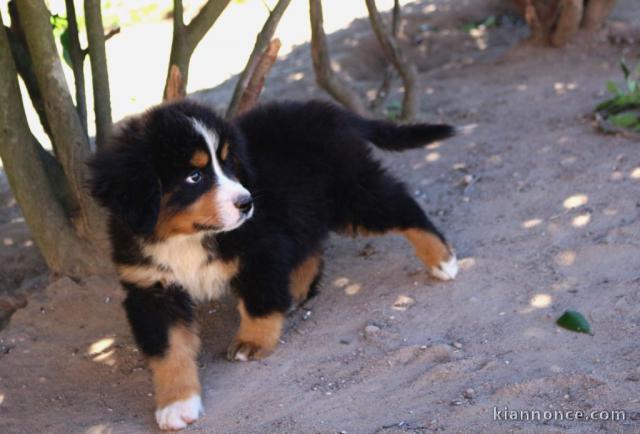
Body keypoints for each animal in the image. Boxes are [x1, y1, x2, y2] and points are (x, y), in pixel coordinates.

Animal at [90, 99, 458, 430]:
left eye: (229, 165)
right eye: (194, 176)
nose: (247, 203)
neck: (185, 238)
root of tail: (328, 109)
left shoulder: (261, 247)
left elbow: (259, 303)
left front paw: (252, 343)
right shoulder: (150, 287)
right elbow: (170, 351)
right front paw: (177, 404)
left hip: (352, 191)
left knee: (402, 205)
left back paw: (443, 259)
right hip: (310, 205)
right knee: (312, 246)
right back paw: (296, 292)